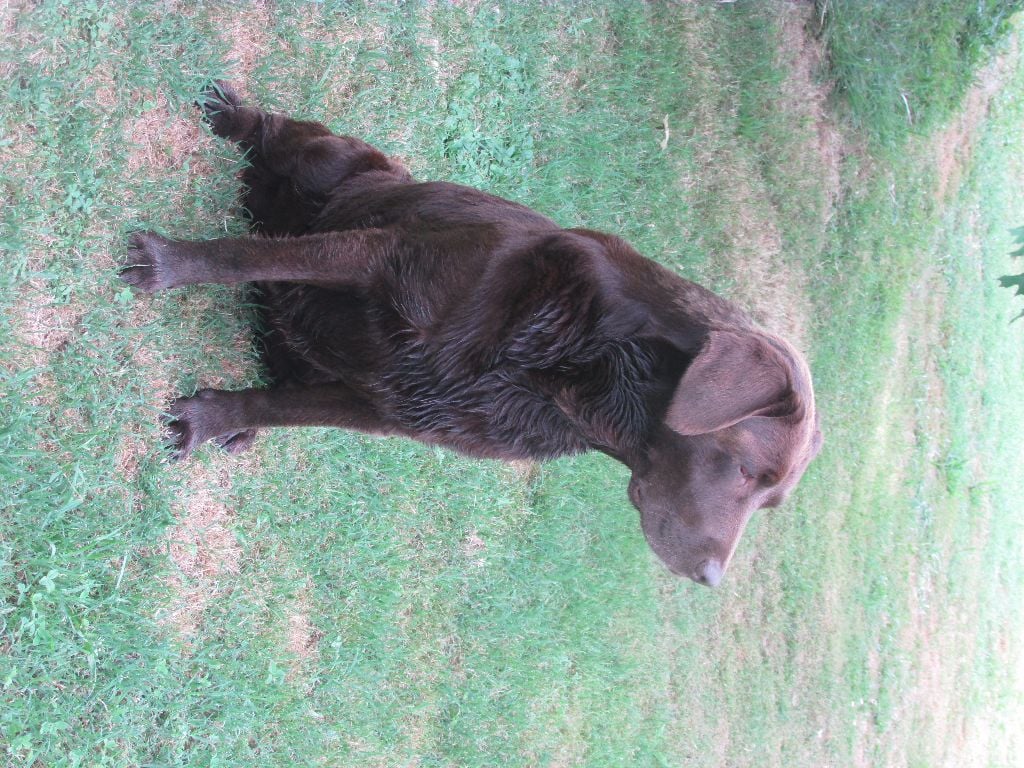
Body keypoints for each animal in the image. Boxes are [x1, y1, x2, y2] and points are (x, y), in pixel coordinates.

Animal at [121, 83, 823, 585]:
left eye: (771, 503)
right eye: (742, 468)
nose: (711, 578)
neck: (564, 371)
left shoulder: (387, 408)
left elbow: (282, 407)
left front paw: (214, 419)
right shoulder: (383, 256)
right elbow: (242, 255)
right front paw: (168, 264)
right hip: (334, 166)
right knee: (274, 138)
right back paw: (230, 114)